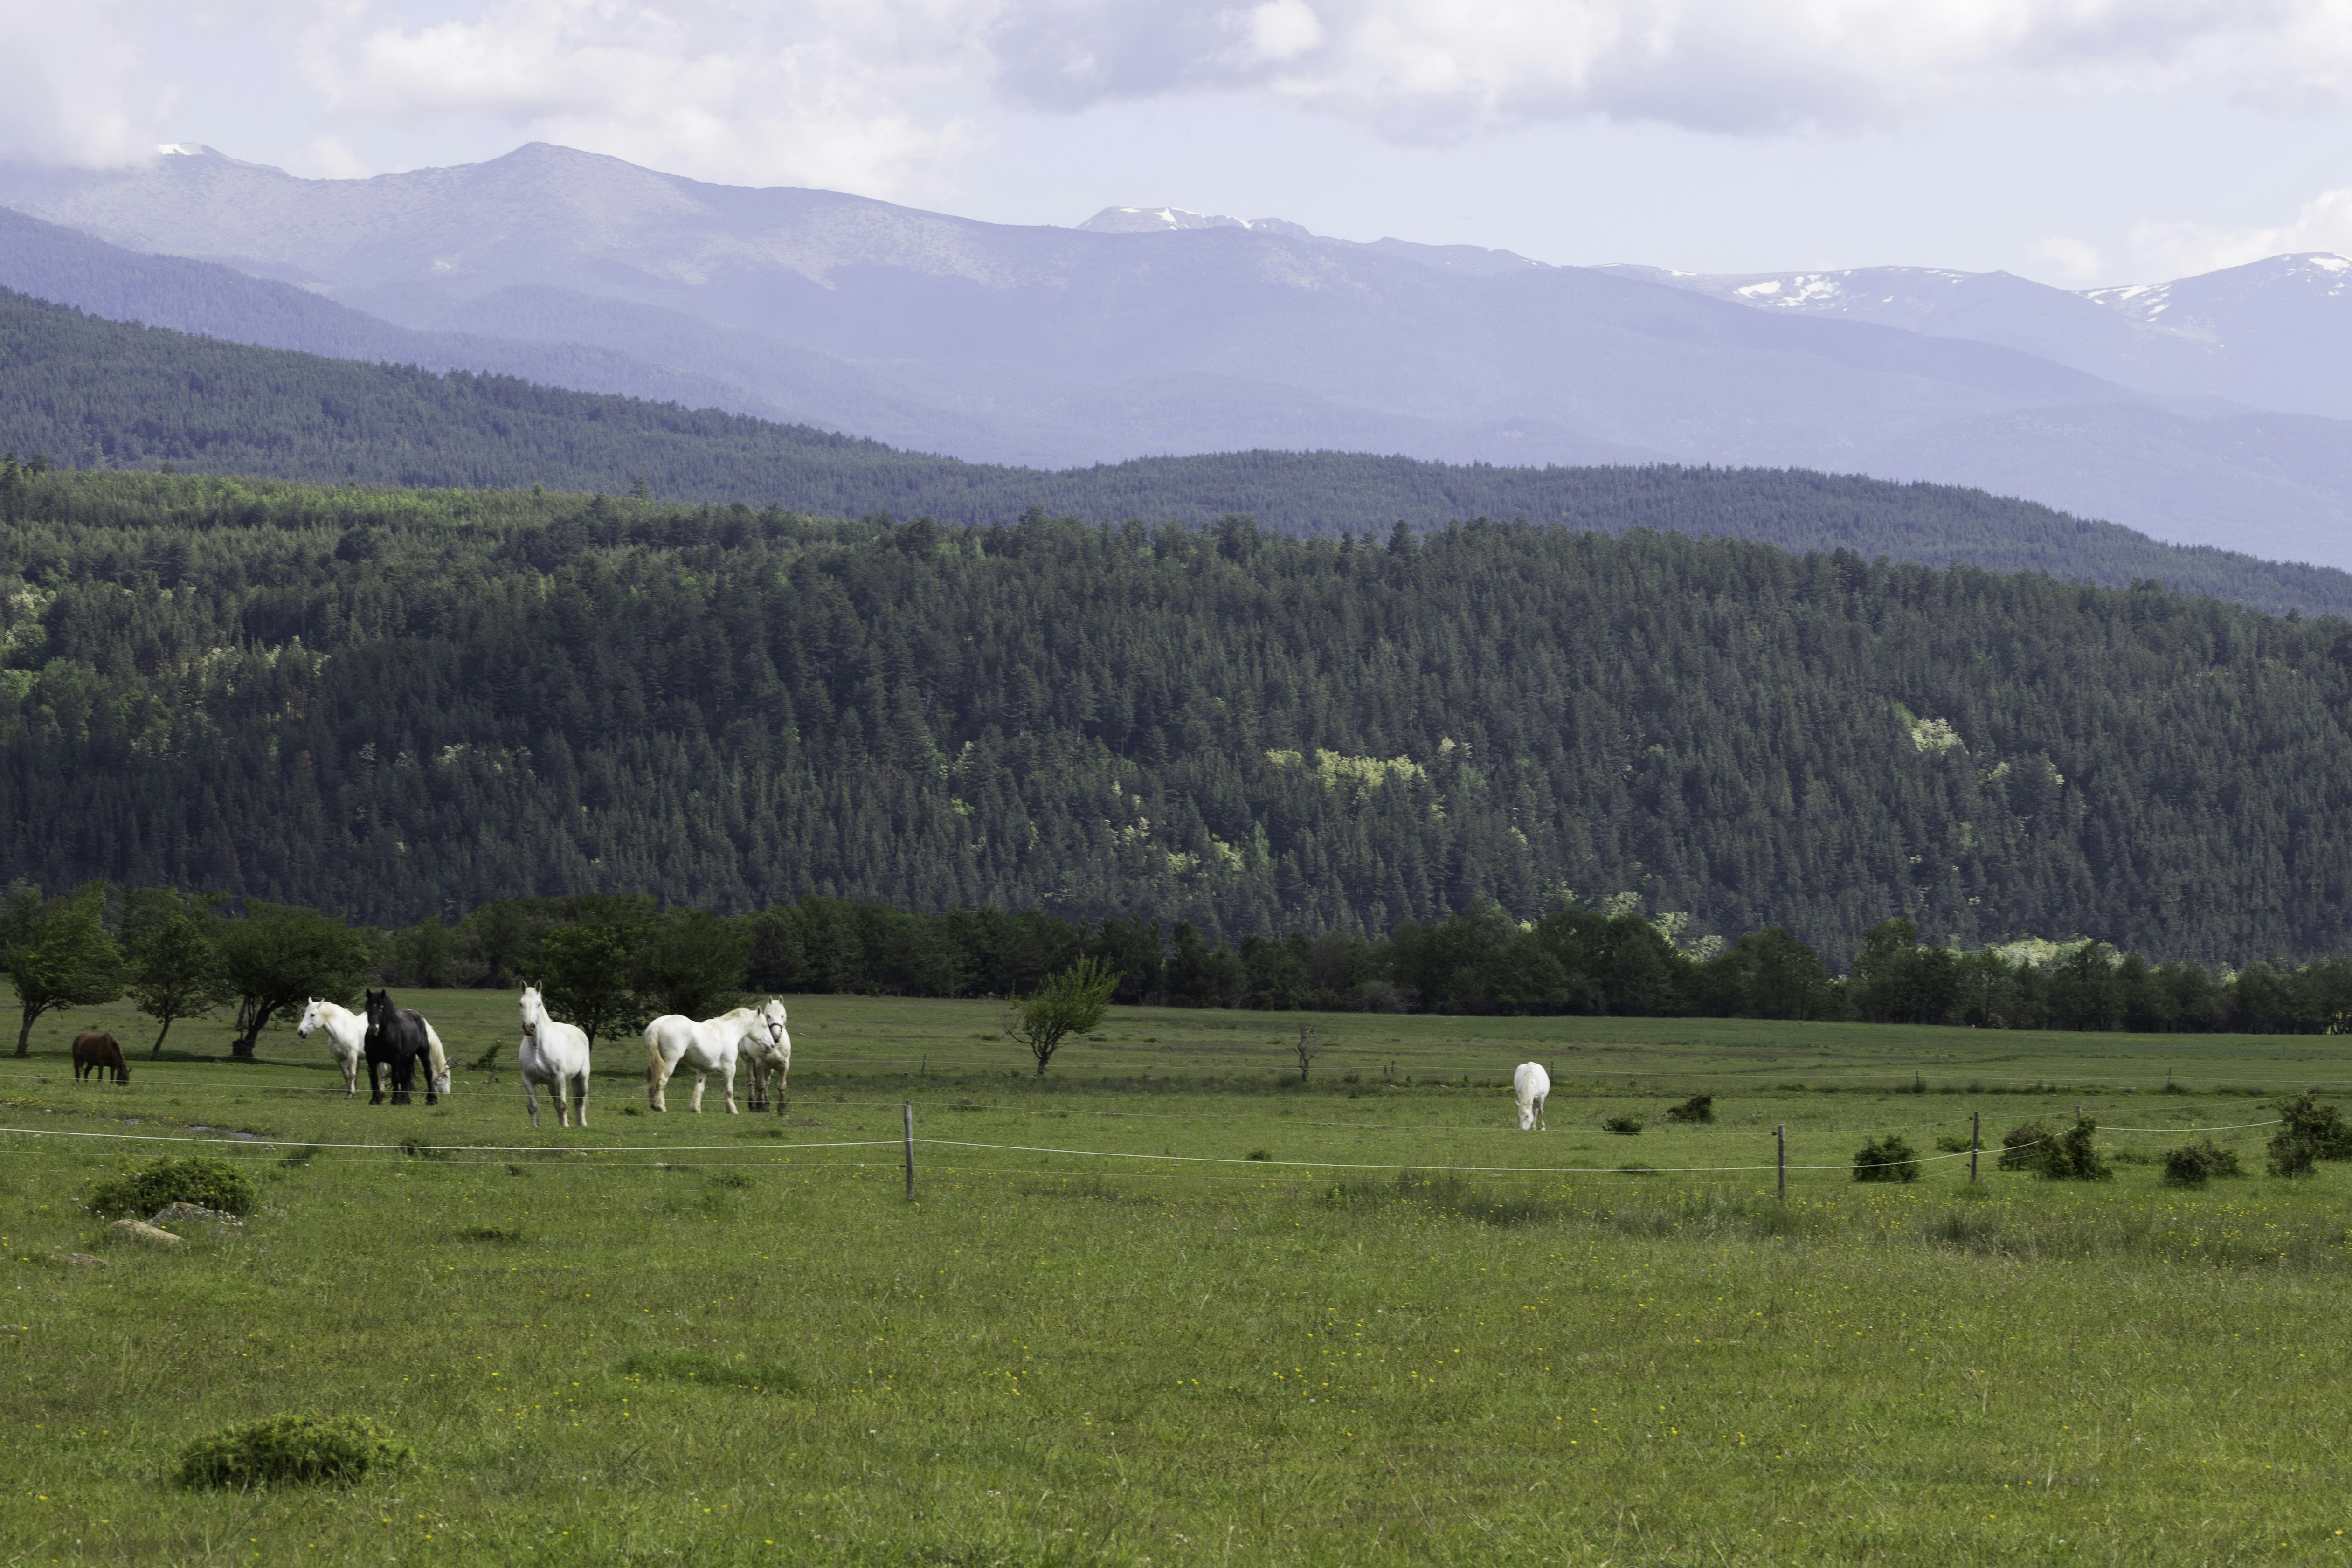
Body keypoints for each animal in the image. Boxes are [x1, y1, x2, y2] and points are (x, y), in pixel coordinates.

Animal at [295, 998, 370, 1096]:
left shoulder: (352, 1056)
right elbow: (346, 1075)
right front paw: (349, 1092)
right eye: (304, 1014)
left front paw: (351, 1094)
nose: (301, 1032)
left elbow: (352, 1074)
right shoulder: (339, 1058)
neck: (344, 1029)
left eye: (313, 1015)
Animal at [361, 989, 452, 1107]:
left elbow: (396, 1077)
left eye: (382, 1008)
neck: (381, 1038)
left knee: (428, 1073)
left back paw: (431, 1100)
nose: (373, 1029)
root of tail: (421, 1018)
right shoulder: (371, 1059)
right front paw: (375, 1100)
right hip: (406, 1058)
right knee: (406, 1076)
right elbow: (374, 1078)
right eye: (368, 1008)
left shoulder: (395, 1058)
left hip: (423, 1053)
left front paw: (395, 1100)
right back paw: (406, 1100)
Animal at [517, 985, 592, 1128]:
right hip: (551, 1086)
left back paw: (582, 1124)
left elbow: (563, 1105)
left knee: (580, 1100)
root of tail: (580, 1032)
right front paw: (535, 1126)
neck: (537, 1047)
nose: (529, 1027)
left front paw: (565, 1126)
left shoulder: (560, 1077)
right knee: (558, 1103)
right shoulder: (527, 1079)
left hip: (582, 1077)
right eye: (521, 1004)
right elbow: (533, 1106)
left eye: (539, 1004)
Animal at [643, 1002, 787, 1114]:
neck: (730, 1031)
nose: (772, 1044)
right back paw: (660, 1106)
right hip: (671, 1061)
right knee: (662, 1080)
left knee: (652, 1078)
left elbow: (700, 1088)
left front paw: (696, 1109)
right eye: (765, 1026)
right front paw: (732, 1110)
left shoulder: (703, 1069)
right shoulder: (730, 1069)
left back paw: (653, 1105)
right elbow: (729, 1090)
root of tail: (658, 1025)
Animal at [1513, 1062, 1550, 1131]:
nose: (1522, 1129)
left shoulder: (1541, 1098)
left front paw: (1543, 1127)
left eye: (1527, 1116)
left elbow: (1541, 1112)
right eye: (1519, 1115)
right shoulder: (1520, 1096)